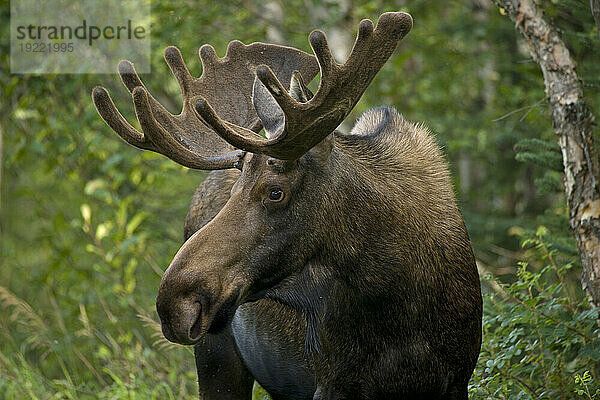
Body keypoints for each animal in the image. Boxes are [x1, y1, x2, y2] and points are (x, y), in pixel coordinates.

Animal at [91, 10, 482, 398]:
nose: (175, 305)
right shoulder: (333, 382)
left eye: (275, 192)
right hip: (217, 358)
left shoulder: (457, 377)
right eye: (235, 191)